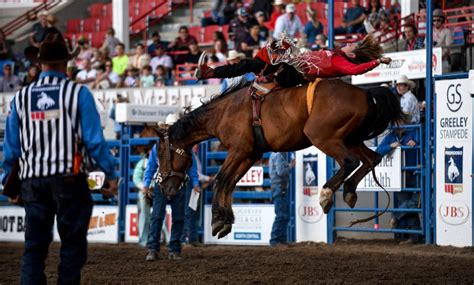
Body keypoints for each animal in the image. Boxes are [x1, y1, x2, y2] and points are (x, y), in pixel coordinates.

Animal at [148, 79, 400, 237]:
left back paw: (326, 196)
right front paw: (226, 220)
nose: (164, 188)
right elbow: (230, 182)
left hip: (324, 136)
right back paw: (348, 191)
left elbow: (221, 179)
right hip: (352, 139)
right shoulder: (250, 154)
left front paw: (218, 220)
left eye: (161, 153)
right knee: (372, 159)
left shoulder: (238, 150)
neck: (224, 112)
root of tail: (365, 93)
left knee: (349, 162)